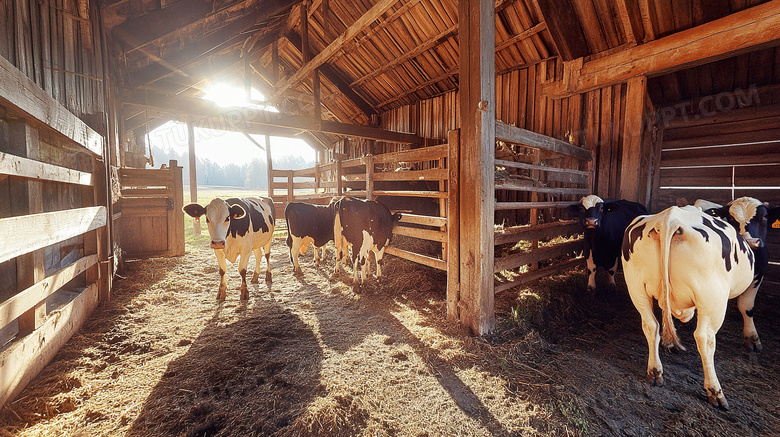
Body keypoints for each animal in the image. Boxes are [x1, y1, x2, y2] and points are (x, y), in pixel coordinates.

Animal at [620, 204, 760, 408]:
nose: (754, 241)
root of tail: (669, 219)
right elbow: (746, 306)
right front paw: (752, 340)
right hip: (712, 299)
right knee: (705, 338)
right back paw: (715, 391)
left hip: (636, 287)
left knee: (651, 325)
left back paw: (655, 372)